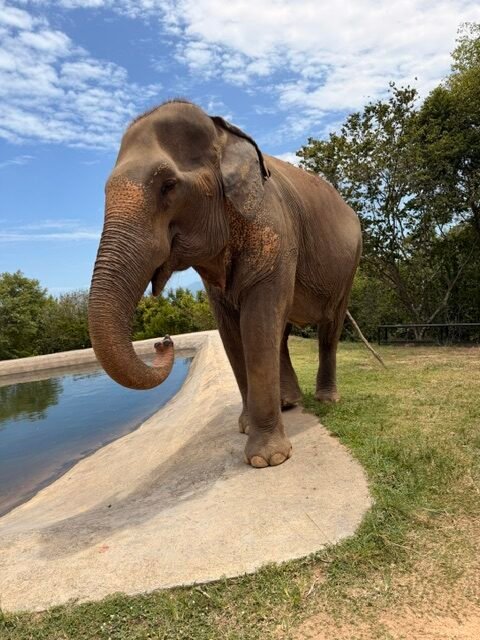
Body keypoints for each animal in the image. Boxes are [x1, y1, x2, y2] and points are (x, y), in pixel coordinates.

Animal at [88, 99, 362, 468]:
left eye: (168, 185)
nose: (163, 341)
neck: (223, 135)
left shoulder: (273, 228)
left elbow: (256, 321)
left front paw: (267, 459)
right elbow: (231, 330)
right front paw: (246, 428)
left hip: (350, 265)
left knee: (328, 329)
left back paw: (326, 400)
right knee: (282, 331)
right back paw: (289, 404)